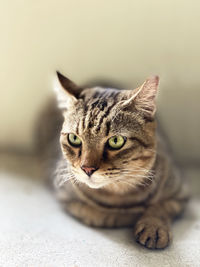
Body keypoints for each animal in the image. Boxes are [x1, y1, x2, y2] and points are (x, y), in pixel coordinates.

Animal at [39, 72, 189, 250]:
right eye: (74, 139)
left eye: (115, 141)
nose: (87, 169)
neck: (119, 192)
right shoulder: (67, 198)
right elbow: (103, 215)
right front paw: (130, 215)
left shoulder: (181, 193)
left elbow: (161, 207)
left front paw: (154, 226)